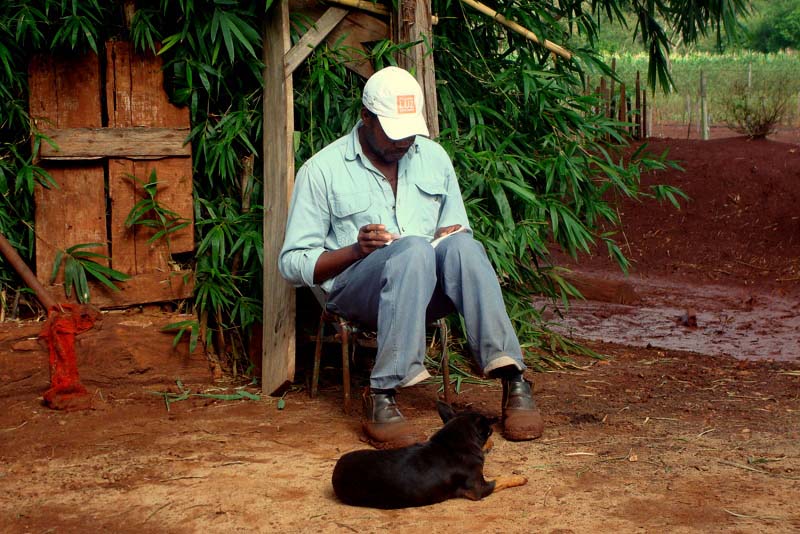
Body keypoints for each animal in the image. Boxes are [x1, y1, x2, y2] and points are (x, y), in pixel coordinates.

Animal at [330, 402, 524, 510]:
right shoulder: (478, 489)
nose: (494, 444)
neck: (454, 442)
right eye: (490, 433)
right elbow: (501, 479)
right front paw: (520, 478)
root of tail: (336, 472)